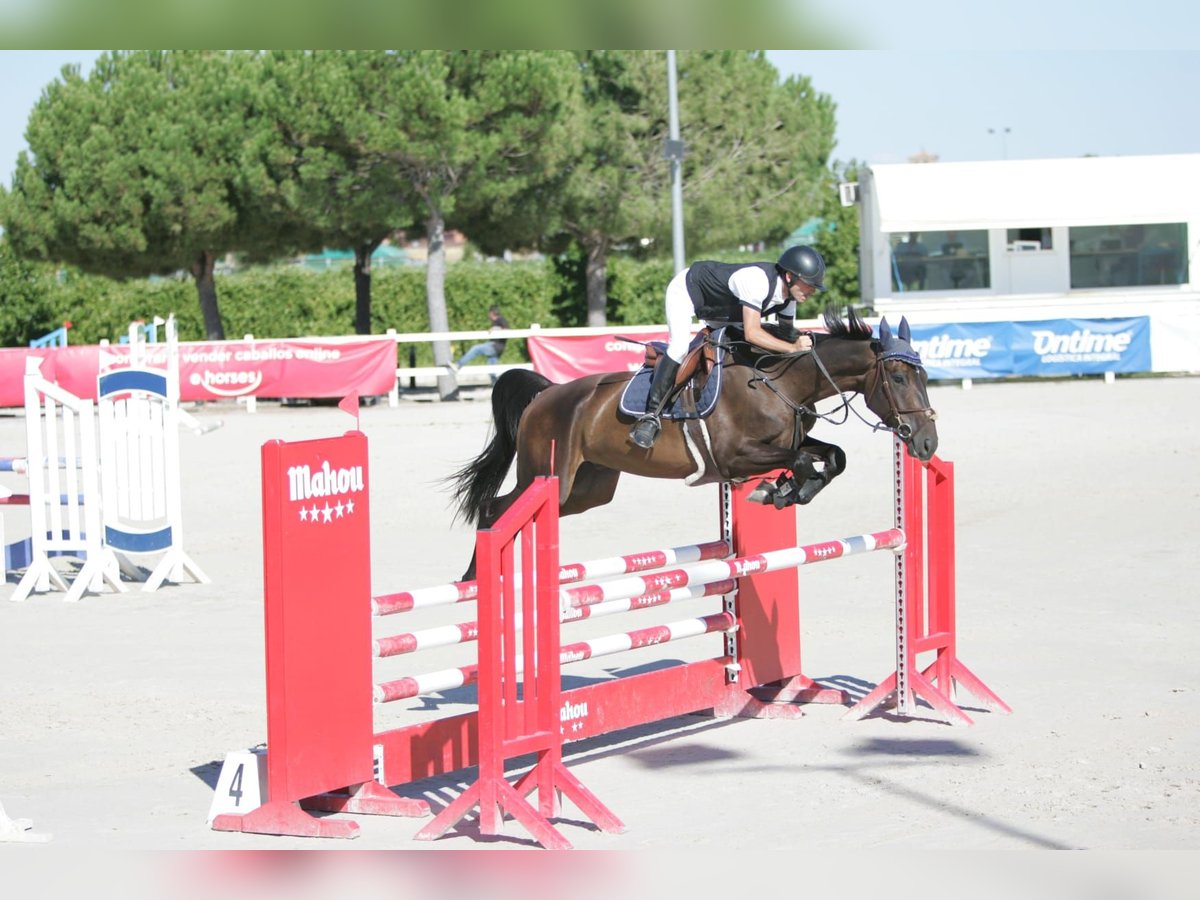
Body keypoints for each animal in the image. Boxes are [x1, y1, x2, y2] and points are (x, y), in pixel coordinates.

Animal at [451, 307, 936, 580]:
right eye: (897, 378)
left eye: (925, 376)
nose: (927, 443)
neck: (780, 382)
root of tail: (546, 393)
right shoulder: (735, 457)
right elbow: (800, 460)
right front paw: (776, 489)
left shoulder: (790, 440)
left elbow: (833, 456)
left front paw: (784, 491)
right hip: (547, 473)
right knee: (496, 509)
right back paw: (473, 580)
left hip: (586, 489)